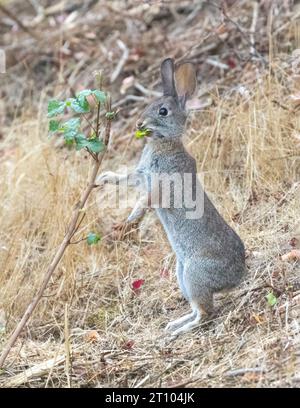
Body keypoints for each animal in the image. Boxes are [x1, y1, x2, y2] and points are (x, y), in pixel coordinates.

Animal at [98, 58, 246, 338]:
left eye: (163, 111)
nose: (139, 125)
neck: (164, 143)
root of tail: (236, 278)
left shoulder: (161, 186)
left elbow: (144, 202)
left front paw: (129, 221)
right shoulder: (140, 176)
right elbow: (125, 179)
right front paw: (103, 178)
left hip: (194, 275)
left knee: (206, 313)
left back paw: (178, 331)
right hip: (182, 275)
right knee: (198, 309)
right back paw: (173, 325)